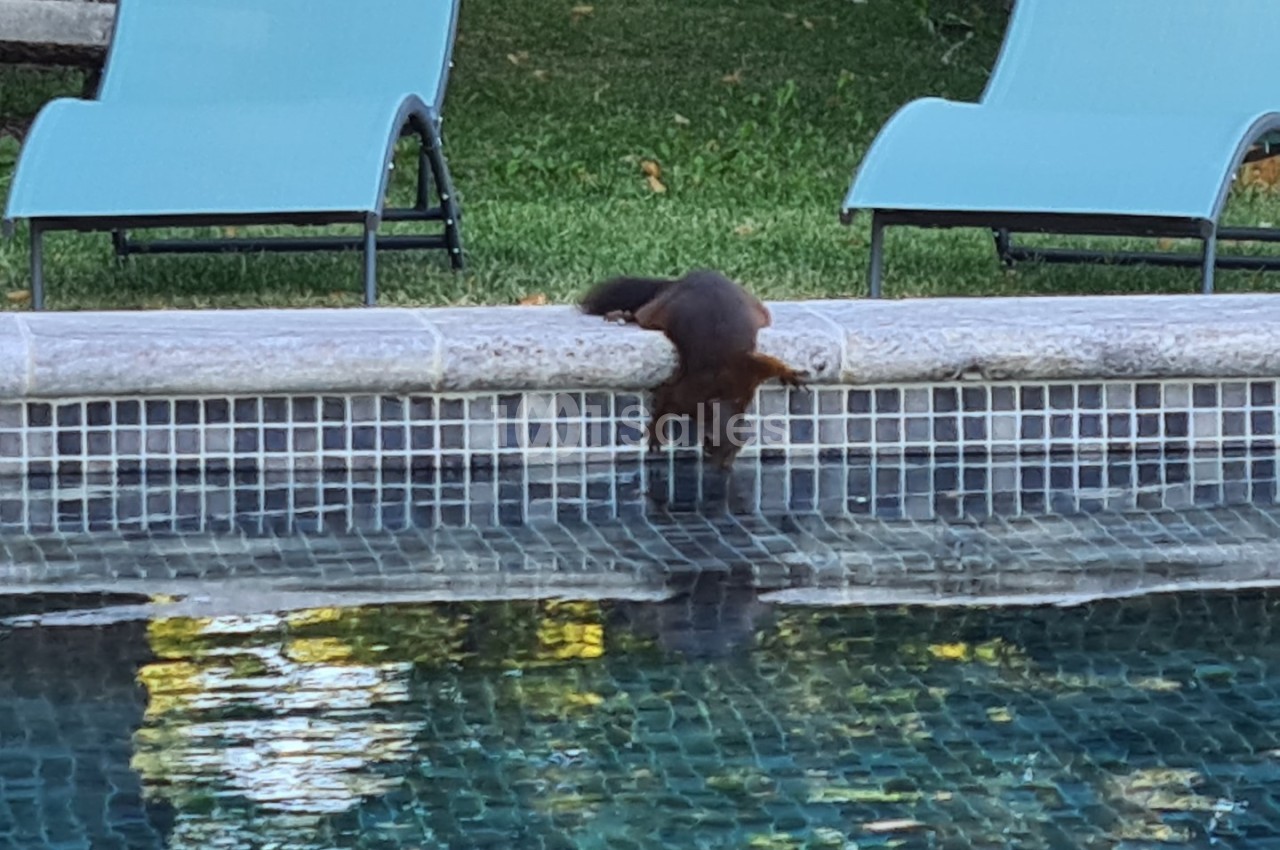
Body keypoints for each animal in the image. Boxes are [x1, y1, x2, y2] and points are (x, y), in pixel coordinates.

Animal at [580, 269, 806, 469]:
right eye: (711, 445)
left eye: (738, 447)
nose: (725, 467)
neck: (725, 396)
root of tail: (683, 280)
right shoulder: (686, 393)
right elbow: (663, 402)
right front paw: (655, 435)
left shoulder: (750, 372)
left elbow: (772, 364)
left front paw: (791, 374)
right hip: (657, 310)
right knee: (639, 314)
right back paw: (621, 315)